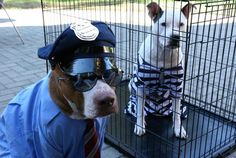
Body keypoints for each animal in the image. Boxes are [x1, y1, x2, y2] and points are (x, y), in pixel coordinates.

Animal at [125, 2, 194, 138]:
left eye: (181, 24)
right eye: (163, 24)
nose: (175, 37)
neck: (163, 54)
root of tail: (157, 111)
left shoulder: (177, 87)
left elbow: (177, 115)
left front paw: (178, 129)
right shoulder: (141, 86)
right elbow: (140, 112)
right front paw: (140, 126)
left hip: (178, 105)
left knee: (176, 113)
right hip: (132, 87)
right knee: (140, 109)